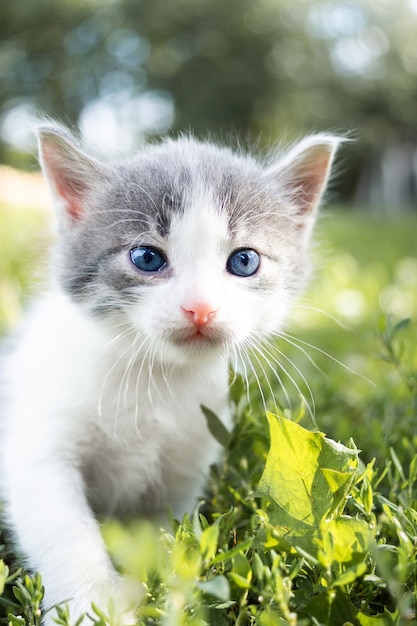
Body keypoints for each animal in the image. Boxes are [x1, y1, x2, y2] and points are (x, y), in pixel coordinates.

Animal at [0, 124, 338, 620]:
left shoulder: (189, 458)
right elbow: (65, 528)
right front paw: (92, 606)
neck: (157, 379)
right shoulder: (37, 444)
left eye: (244, 261)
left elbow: (167, 530)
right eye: (146, 258)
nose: (200, 307)